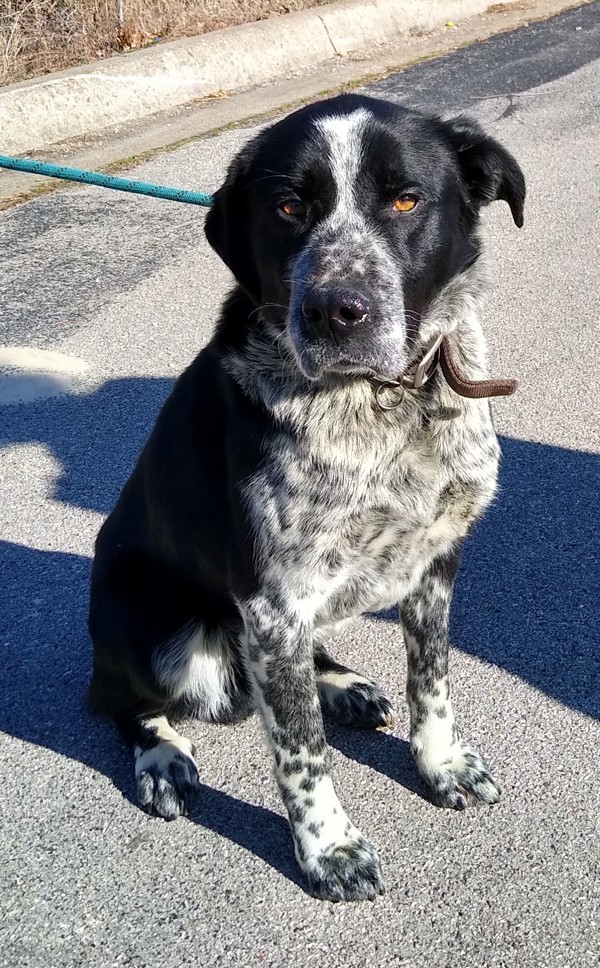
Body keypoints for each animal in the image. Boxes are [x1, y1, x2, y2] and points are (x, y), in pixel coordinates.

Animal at [89, 94, 524, 904]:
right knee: (120, 701)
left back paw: (342, 686)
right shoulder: (270, 604)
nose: (334, 311)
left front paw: (441, 762)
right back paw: (161, 757)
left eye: (406, 199)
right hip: (155, 622)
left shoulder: (433, 563)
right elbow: (301, 755)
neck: (385, 408)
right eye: (289, 206)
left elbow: (432, 681)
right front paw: (329, 848)